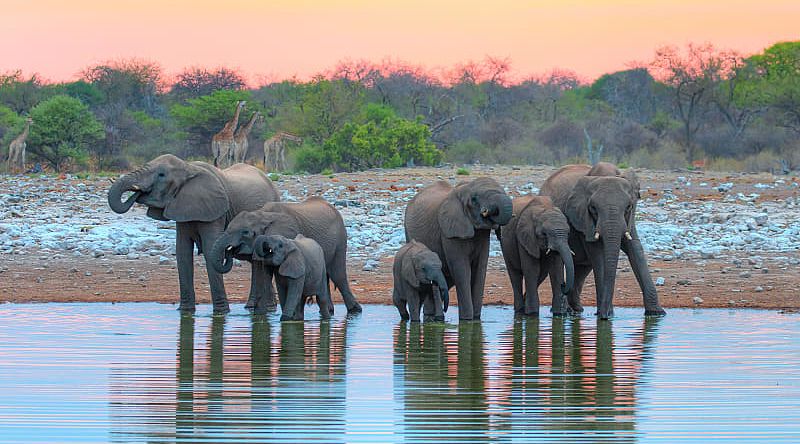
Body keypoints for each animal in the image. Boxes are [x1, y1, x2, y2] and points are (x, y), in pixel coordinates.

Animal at [108, 154, 280, 314]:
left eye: (161, 175)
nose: (137, 194)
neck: (189, 168)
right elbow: (182, 252)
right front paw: (185, 312)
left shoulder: (215, 211)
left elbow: (210, 250)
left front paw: (221, 313)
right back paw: (258, 307)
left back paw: (265, 308)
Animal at [209, 196, 366, 314]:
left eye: (245, 232)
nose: (229, 250)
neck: (262, 214)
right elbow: (263, 275)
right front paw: (259, 316)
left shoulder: (286, 236)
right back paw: (329, 310)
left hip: (340, 239)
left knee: (338, 274)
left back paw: (355, 310)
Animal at [406, 179, 512, 320]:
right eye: (474, 199)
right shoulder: (450, 232)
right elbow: (462, 270)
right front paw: (467, 319)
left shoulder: (482, 235)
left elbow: (480, 269)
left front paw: (476, 318)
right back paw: (435, 317)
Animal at [540, 163, 664, 320]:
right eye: (593, 208)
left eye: (628, 206)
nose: (605, 316)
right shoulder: (584, 219)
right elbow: (598, 256)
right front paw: (605, 315)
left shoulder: (629, 219)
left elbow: (635, 250)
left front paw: (657, 314)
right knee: (559, 263)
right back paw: (564, 311)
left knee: (582, 267)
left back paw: (576, 310)